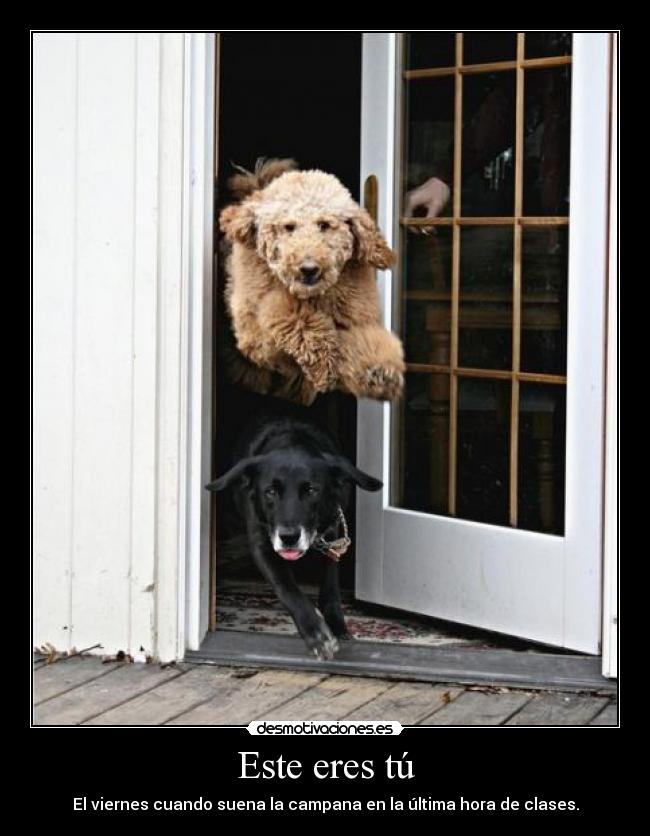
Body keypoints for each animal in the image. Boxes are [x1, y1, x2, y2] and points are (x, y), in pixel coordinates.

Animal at [205, 418, 382, 660]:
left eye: (311, 490)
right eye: (270, 491)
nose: (288, 537)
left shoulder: (333, 536)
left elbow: (330, 585)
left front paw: (336, 625)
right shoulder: (262, 544)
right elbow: (287, 588)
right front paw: (316, 633)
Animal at [220, 158, 408, 406]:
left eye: (324, 225)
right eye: (289, 227)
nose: (309, 269)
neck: (314, 296)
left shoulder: (357, 317)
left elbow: (361, 341)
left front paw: (378, 370)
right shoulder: (256, 336)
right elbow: (287, 313)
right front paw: (322, 359)